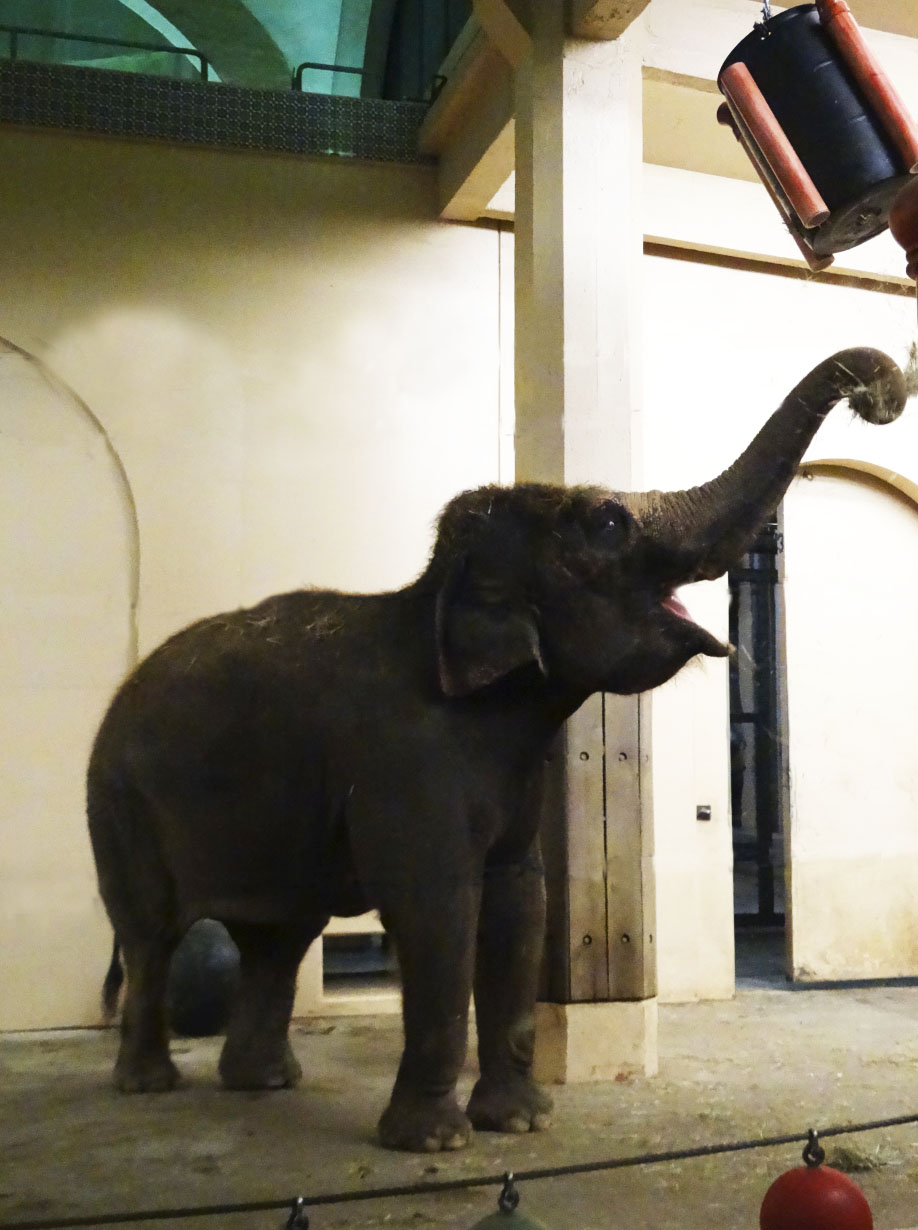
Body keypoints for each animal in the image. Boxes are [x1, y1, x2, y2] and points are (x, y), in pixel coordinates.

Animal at [87, 348, 905, 1152]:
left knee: (277, 937)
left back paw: (265, 1082)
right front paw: (435, 1142)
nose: (882, 393)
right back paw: (148, 1084)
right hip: (117, 803)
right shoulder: (409, 764)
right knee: (154, 932)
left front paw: (520, 1122)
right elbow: (441, 907)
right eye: (608, 521)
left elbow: (519, 899)